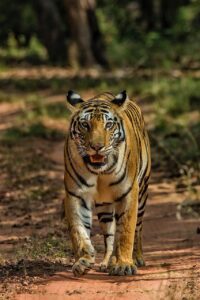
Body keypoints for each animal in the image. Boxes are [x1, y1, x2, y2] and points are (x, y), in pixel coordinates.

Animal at [63, 89, 150, 276]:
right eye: (85, 125)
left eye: (108, 125)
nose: (97, 147)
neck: (99, 172)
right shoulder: (75, 194)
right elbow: (78, 230)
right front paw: (83, 260)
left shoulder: (129, 193)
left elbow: (126, 231)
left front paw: (124, 264)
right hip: (104, 207)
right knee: (109, 235)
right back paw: (107, 262)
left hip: (143, 193)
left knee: (138, 229)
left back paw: (137, 258)